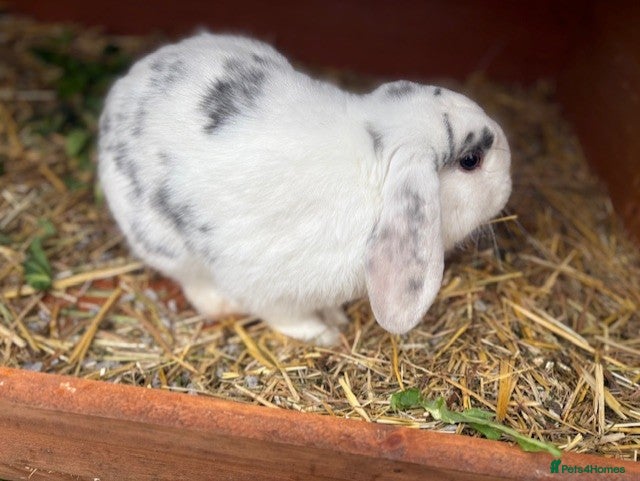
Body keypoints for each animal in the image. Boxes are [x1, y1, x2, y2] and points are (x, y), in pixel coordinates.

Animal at [98, 32, 511, 346]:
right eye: (471, 160)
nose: (509, 182)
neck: (374, 163)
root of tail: (120, 94)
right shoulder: (270, 286)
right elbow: (287, 317)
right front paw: (326, 336)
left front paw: (337, 319)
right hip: (165, 245)